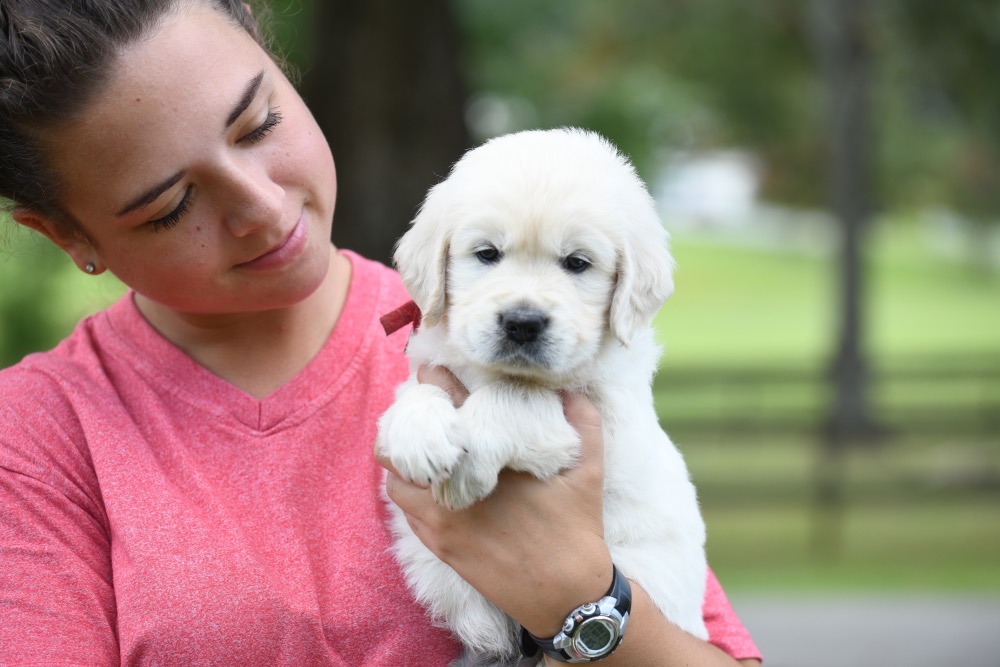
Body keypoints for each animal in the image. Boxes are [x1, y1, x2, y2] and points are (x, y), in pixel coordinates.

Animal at [376, 128, 712, 664]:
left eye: (577, 263)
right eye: (486, 254)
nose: (522, 323)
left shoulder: (595, 416)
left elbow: (516, 400)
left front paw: (470, 455)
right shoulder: (432, 368)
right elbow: (419, 394)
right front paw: (420, 437)